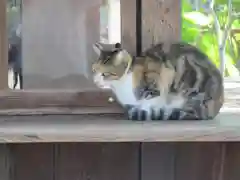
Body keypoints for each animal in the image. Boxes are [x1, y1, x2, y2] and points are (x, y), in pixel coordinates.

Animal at [91, 41, 223, 121]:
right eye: (94, 70)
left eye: (105, 74)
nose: (94, 81)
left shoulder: (162, 75)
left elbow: (150, 100)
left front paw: (144, 111)